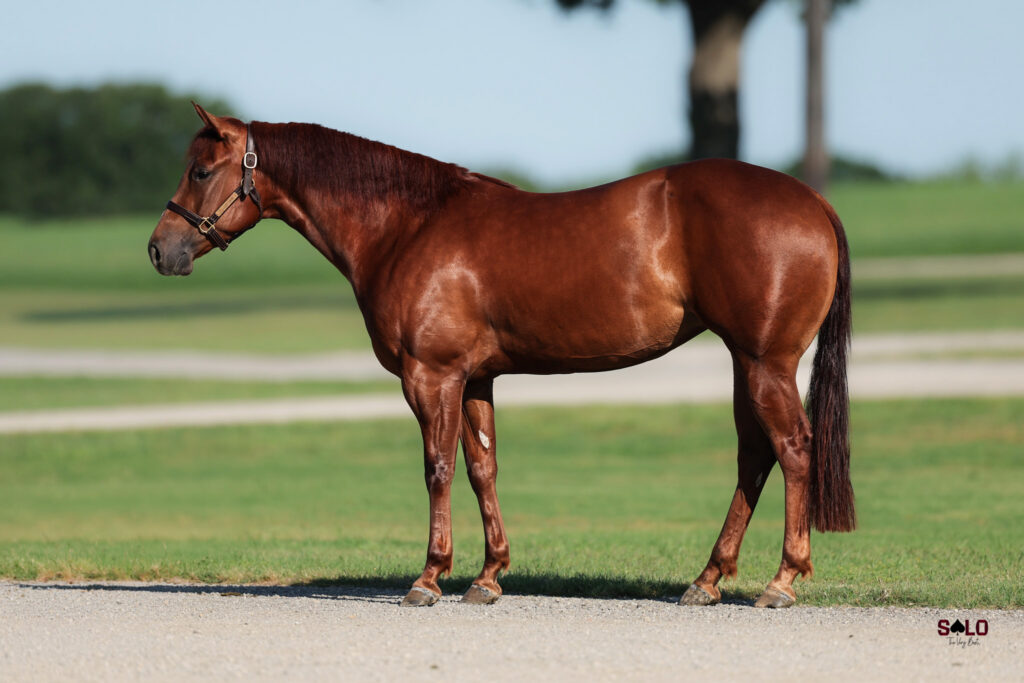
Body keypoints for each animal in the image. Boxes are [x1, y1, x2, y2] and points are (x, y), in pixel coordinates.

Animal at [149, 103, 855, 609]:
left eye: (201, 171)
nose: (160, 249)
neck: (408, 226)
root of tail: (812, 201)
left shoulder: (430, 376)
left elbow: (437, 468)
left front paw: (429, 578)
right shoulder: (475, 379)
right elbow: (482, 469)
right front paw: (488, 577)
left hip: (764, 362)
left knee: (793, 448)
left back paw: (781, 582)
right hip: (745, 361)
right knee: (754, 456)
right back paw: (707, 580)